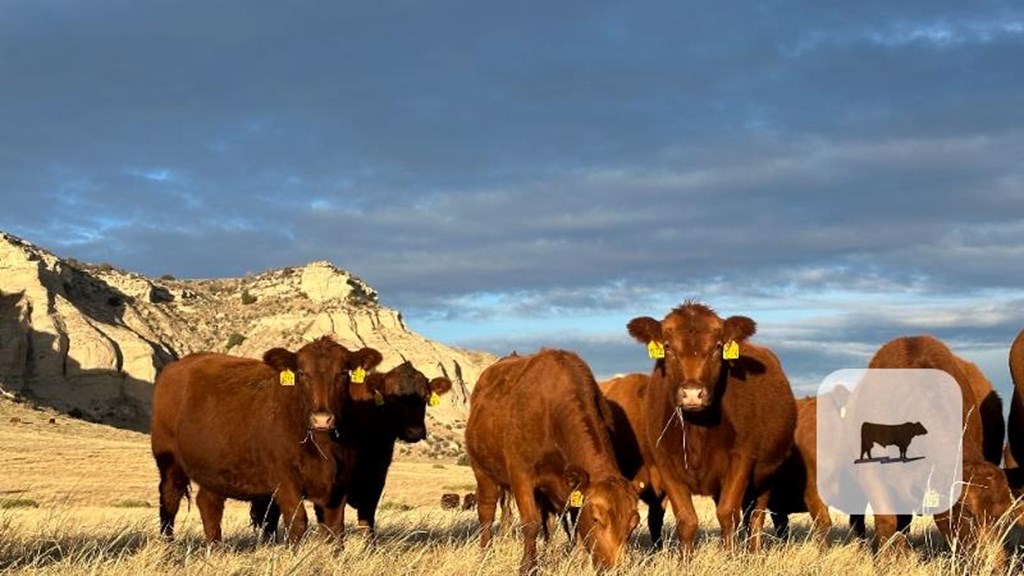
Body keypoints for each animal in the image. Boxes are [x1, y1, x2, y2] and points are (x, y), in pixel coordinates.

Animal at [622, 301, 798, 553]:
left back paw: (754, 554)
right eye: (668, 346)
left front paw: (730, 556)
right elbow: (686, 519)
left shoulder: (741, 459)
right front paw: (685, 560)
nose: (692, 393)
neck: (697, 429)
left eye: (717, 347)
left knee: (755, 517)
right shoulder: (665, 465)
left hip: (767, 474)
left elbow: (727, 514)